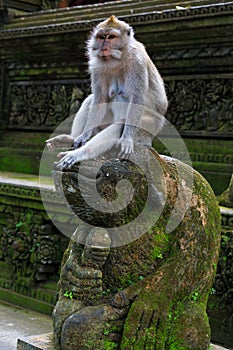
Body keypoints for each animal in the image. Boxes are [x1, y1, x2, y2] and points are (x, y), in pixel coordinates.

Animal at [46, 15, 167, 170]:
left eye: (111, 37)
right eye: (101, 37)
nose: (103, 47)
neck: (118, 59)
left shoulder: (136, 63)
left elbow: (137, 98)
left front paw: (126, 139)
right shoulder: (96, 66)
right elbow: (100, 98)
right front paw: (84, 136)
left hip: (148, 130)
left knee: (119, 125)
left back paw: (79, 154)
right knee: (90, 100)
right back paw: (71, 139)